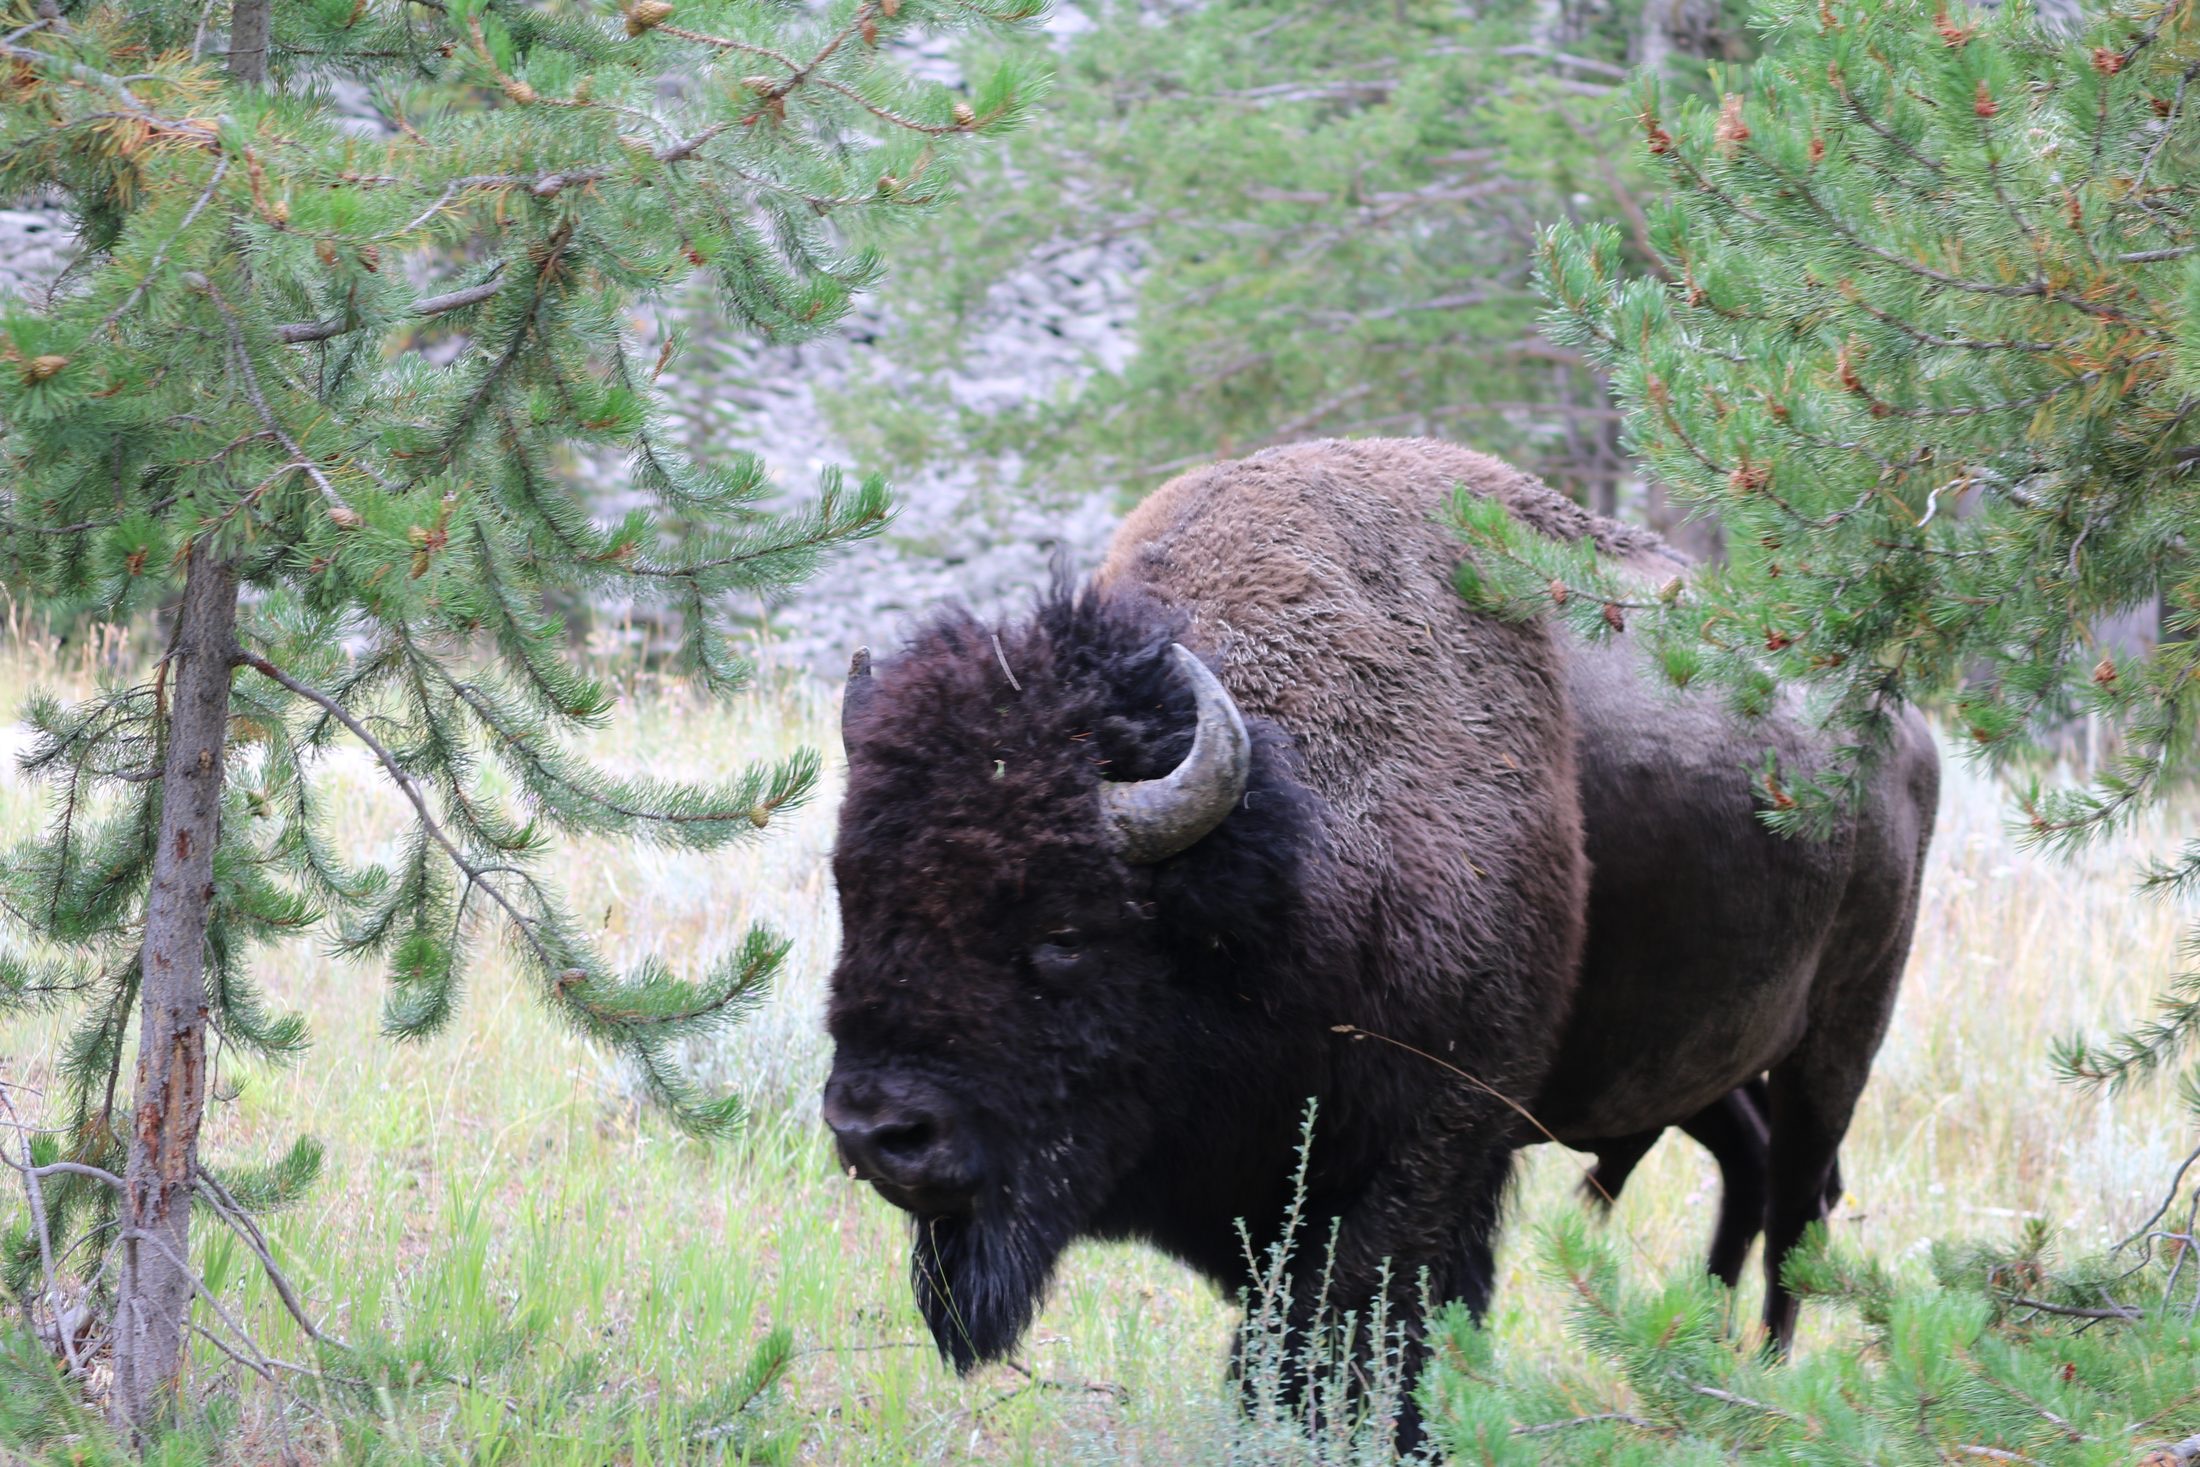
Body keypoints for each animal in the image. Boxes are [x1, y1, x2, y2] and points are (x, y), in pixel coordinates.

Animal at [823, 437, 1937, 1441]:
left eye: (1061, 934)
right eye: (856, 901)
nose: (878, 1132)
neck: (1285, 847)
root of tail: (1908, 729)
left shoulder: (1436, 1137)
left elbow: (1365, 1305)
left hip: (1842, 1031)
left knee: (1800, 1193)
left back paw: (1770, 1368)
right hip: (1691, 1061)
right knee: (1748, 1166)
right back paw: (1705, 1346)